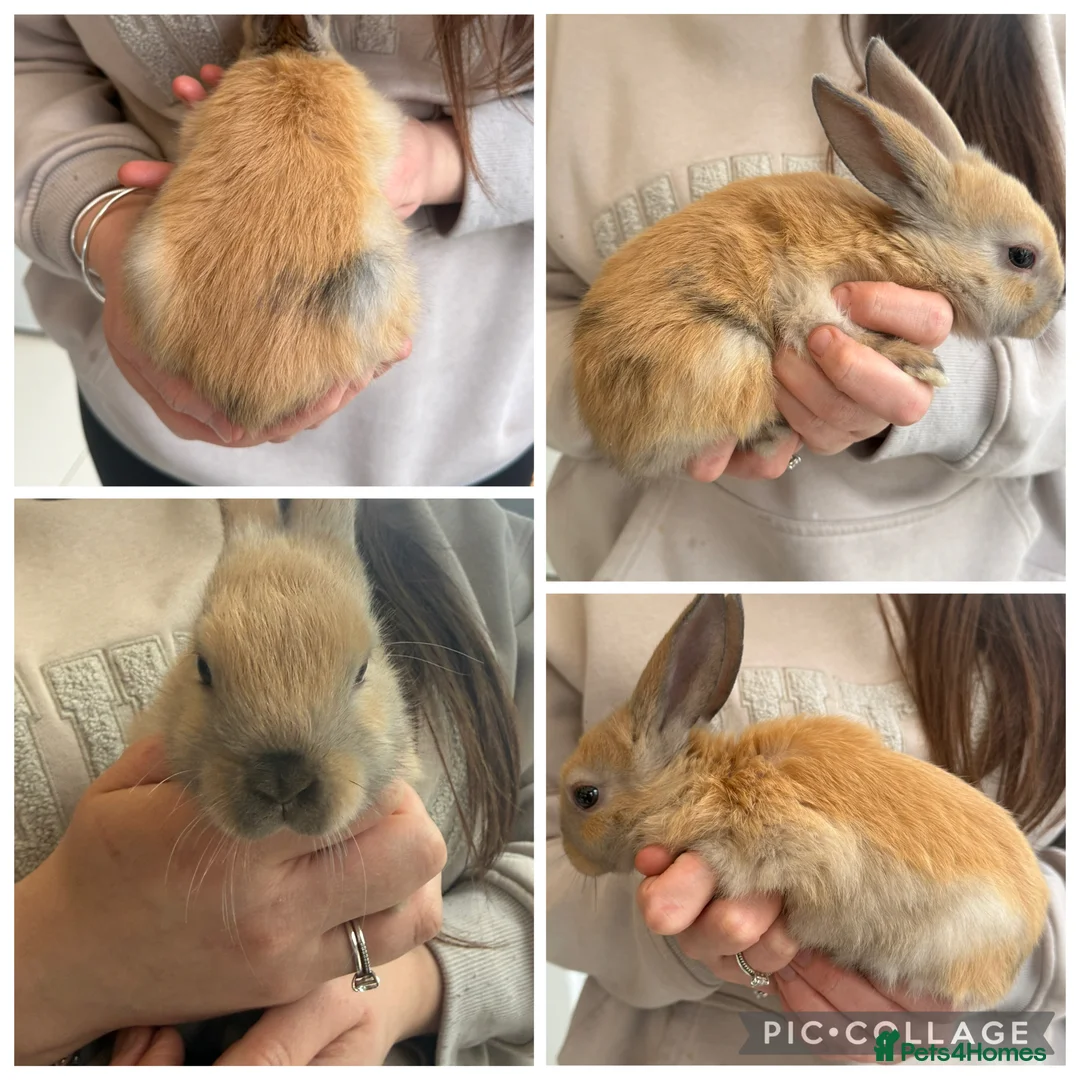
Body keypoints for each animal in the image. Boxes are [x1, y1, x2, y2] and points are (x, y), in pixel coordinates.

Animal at [572, 38, 1066, 479]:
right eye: (1021, 256)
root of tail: (608, 432)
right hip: (733, 351)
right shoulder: (802, 288)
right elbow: (826, 325)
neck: (911, 244)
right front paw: (916, 360)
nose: (1060, 302)